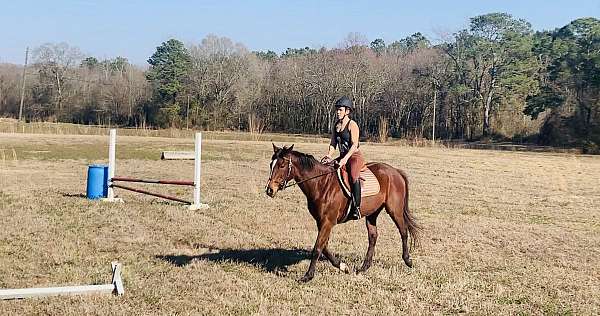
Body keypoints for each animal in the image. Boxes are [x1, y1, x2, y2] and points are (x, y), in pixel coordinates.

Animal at [264, 144, 420, 282]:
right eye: (271, 164)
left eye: (282, 165)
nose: (269, 190)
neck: (321, 183)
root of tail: (395, 171)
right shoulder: (321, 222)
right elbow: (324, 247)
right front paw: (343, 267)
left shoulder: (327, 222)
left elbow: (317, 248)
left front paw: (307, 276)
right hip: (372, 213)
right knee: (373, 236)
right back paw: (364, 267)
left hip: (395, 210)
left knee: (403, 231)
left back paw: (408, 260)